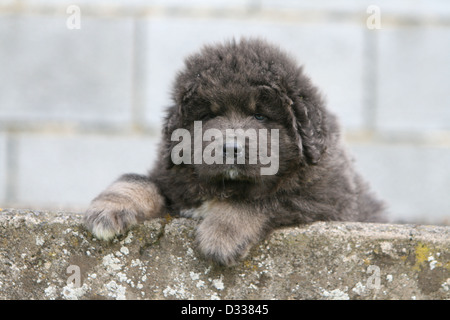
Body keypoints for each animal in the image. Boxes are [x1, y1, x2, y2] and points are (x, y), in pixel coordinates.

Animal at [85, 38, 386, 264]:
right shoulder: (173, 180)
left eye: (260, 116)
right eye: (208, 116)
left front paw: (221, 235)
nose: (230, 148)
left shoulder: (326, 198)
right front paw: (108, 207)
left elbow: (259, 199)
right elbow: (140, 180)